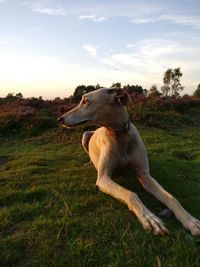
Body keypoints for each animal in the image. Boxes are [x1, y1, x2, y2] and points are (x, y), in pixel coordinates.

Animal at [57, 88, 200, 237]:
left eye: (85, 101)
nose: (59, 119)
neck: (119, 135)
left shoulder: (145, 175)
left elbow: (171, 198)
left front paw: (191, 221)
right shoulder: (103, 178)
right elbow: (131, 194)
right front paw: (150, 219)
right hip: (85, 135)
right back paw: (90, 163)